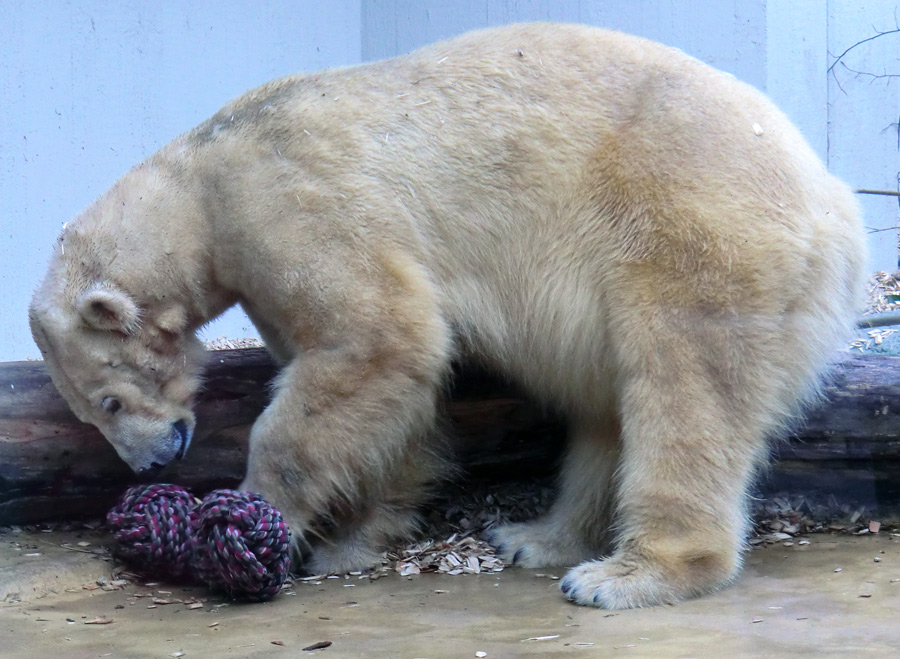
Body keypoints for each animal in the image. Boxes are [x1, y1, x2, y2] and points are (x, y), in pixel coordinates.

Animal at [31, 23, 868, 612]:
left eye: (109, 398)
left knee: (682, 387)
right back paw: (538, 535)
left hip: (695, 230)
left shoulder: (287, 205)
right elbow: (388, 387)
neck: (205, 177)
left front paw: (256, 516)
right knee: (608, 405)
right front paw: (356, 535)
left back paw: (626, 573)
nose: (150, 464)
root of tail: (835, 205)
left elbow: (376, 339)